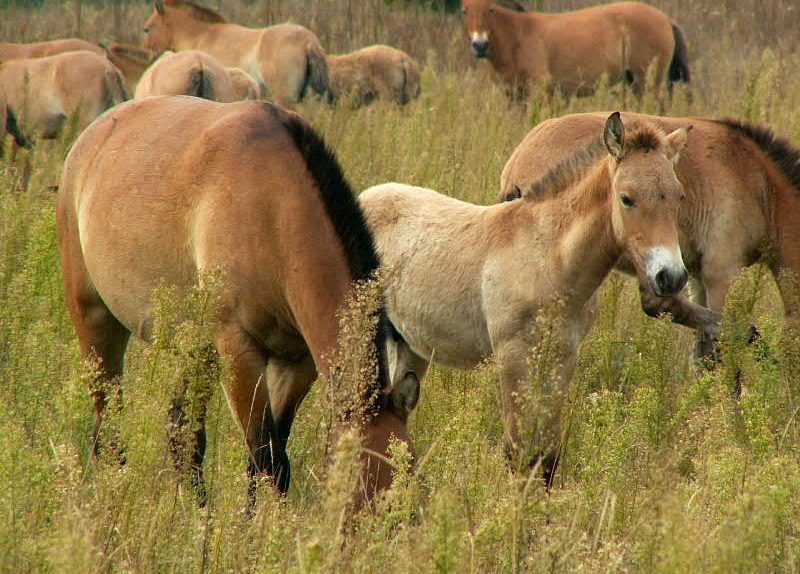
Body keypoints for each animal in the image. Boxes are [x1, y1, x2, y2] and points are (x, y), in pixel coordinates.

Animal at [57, 96, 419, 503]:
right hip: (96, 321)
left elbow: (268, 459)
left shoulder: (296, 363)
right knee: (109, 428)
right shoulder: (240, 352)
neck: (273, 208)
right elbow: (267, 459)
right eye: (370, 487)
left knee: (182, 435)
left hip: (196, 349)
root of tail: (90, 138)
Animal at [360, 112, 690, 482]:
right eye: (627, 198)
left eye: (678, 197)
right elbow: (517, 451)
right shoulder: (513, 356)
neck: (548, 257)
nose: (671, 276)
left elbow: (546, 454)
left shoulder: (562, 356)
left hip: (410, 345)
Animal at [461, 0, 690, 97]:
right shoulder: (514, 95)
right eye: (465, 11)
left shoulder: (541, 91)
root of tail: (666, 19)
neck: (518, 36)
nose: (480, 45)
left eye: (490, 9)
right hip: (634, 81)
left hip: (648, 81)